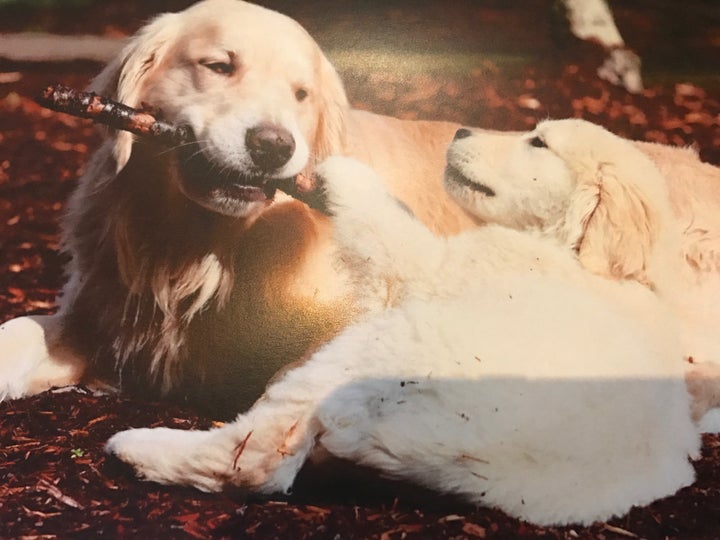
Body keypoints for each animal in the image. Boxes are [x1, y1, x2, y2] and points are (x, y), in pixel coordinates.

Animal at [108, 156, 704, 528]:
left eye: (537, 143)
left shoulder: (449, 267)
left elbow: (397, 237)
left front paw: (338, 174)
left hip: (397, 350)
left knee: (262, 457)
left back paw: (141, 449)